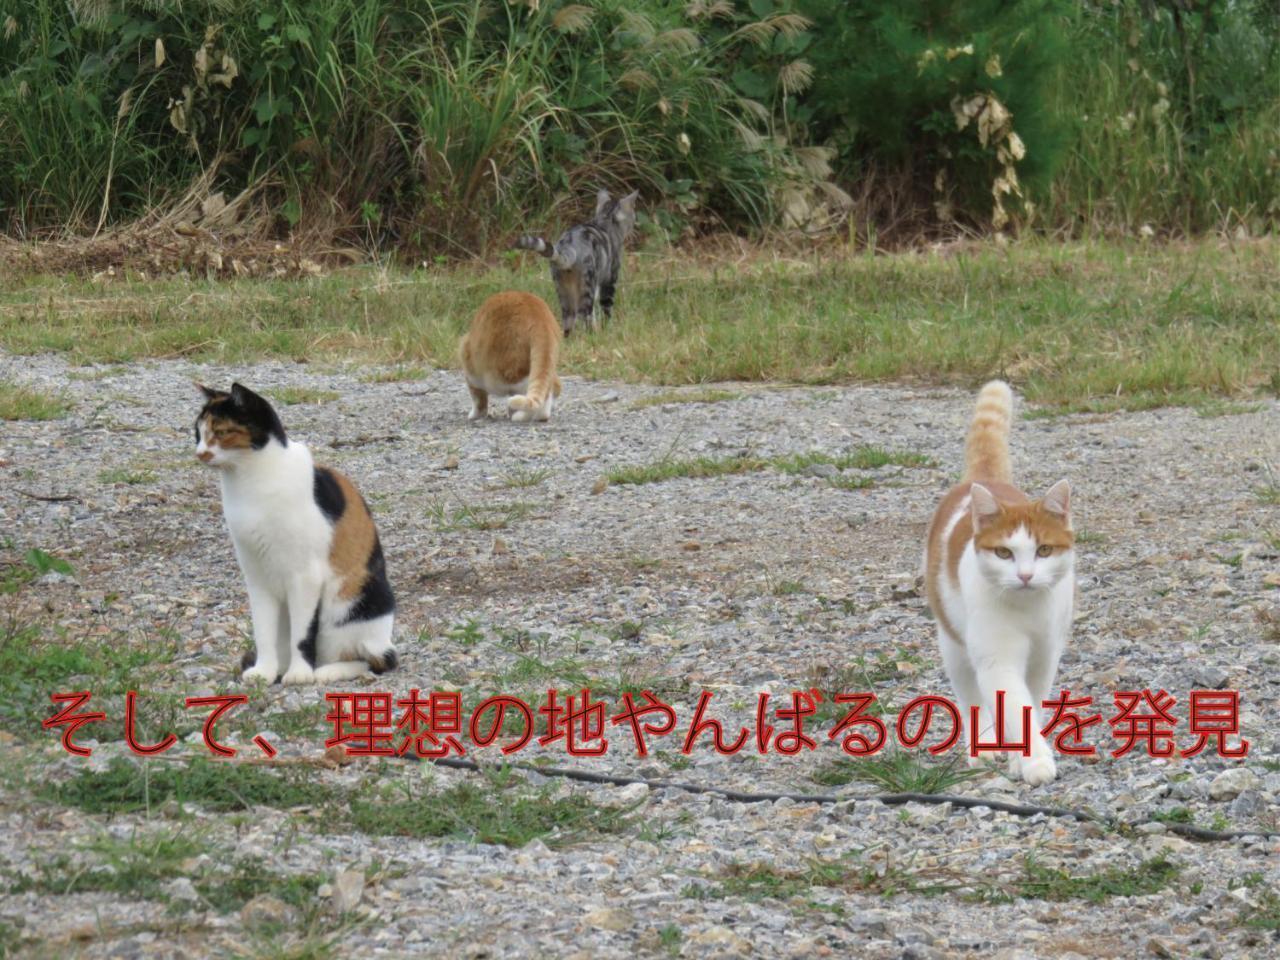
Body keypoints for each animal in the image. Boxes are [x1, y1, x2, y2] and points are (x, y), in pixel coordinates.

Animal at [192, 378, 394, 686]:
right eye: (197, 434)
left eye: (221, 432)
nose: (200, 453)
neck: (251, 482)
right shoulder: (257, 577)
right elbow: (263, 631)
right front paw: (264, 671)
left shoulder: (305, 577)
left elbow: (303, 633)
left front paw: (300, 674)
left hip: (353, 604)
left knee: (375, 660)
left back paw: (323, 671)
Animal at [458, 291, 563, 422]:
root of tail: (539, 317)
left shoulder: (471, 371)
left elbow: (479, 400)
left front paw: (475, 415)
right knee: (551, 387)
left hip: (505, 371)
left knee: (536, 397)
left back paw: (521, 416)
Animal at [512, 189, 637, 337]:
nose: (635, 225)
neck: (605, 220)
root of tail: (569, 246)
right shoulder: (609, 280)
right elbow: (606, 310)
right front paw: (606, 330)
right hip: (587, 285)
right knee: (585, 315)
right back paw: (591, 337)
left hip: (563, 289)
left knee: (569, 318)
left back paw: (568, 338)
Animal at [926, 378, 1075, 783]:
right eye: (1005, 553)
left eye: (1043, 550)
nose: (1025, 575)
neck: (1027, 609)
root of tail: (983, 479)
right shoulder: (998, 661)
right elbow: (1012, 707)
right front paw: (1036, 762)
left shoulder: (1044, 657)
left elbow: (1031, 707)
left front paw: (1023, 759)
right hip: (955, 647)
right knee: (971, 701)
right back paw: (983, 749)